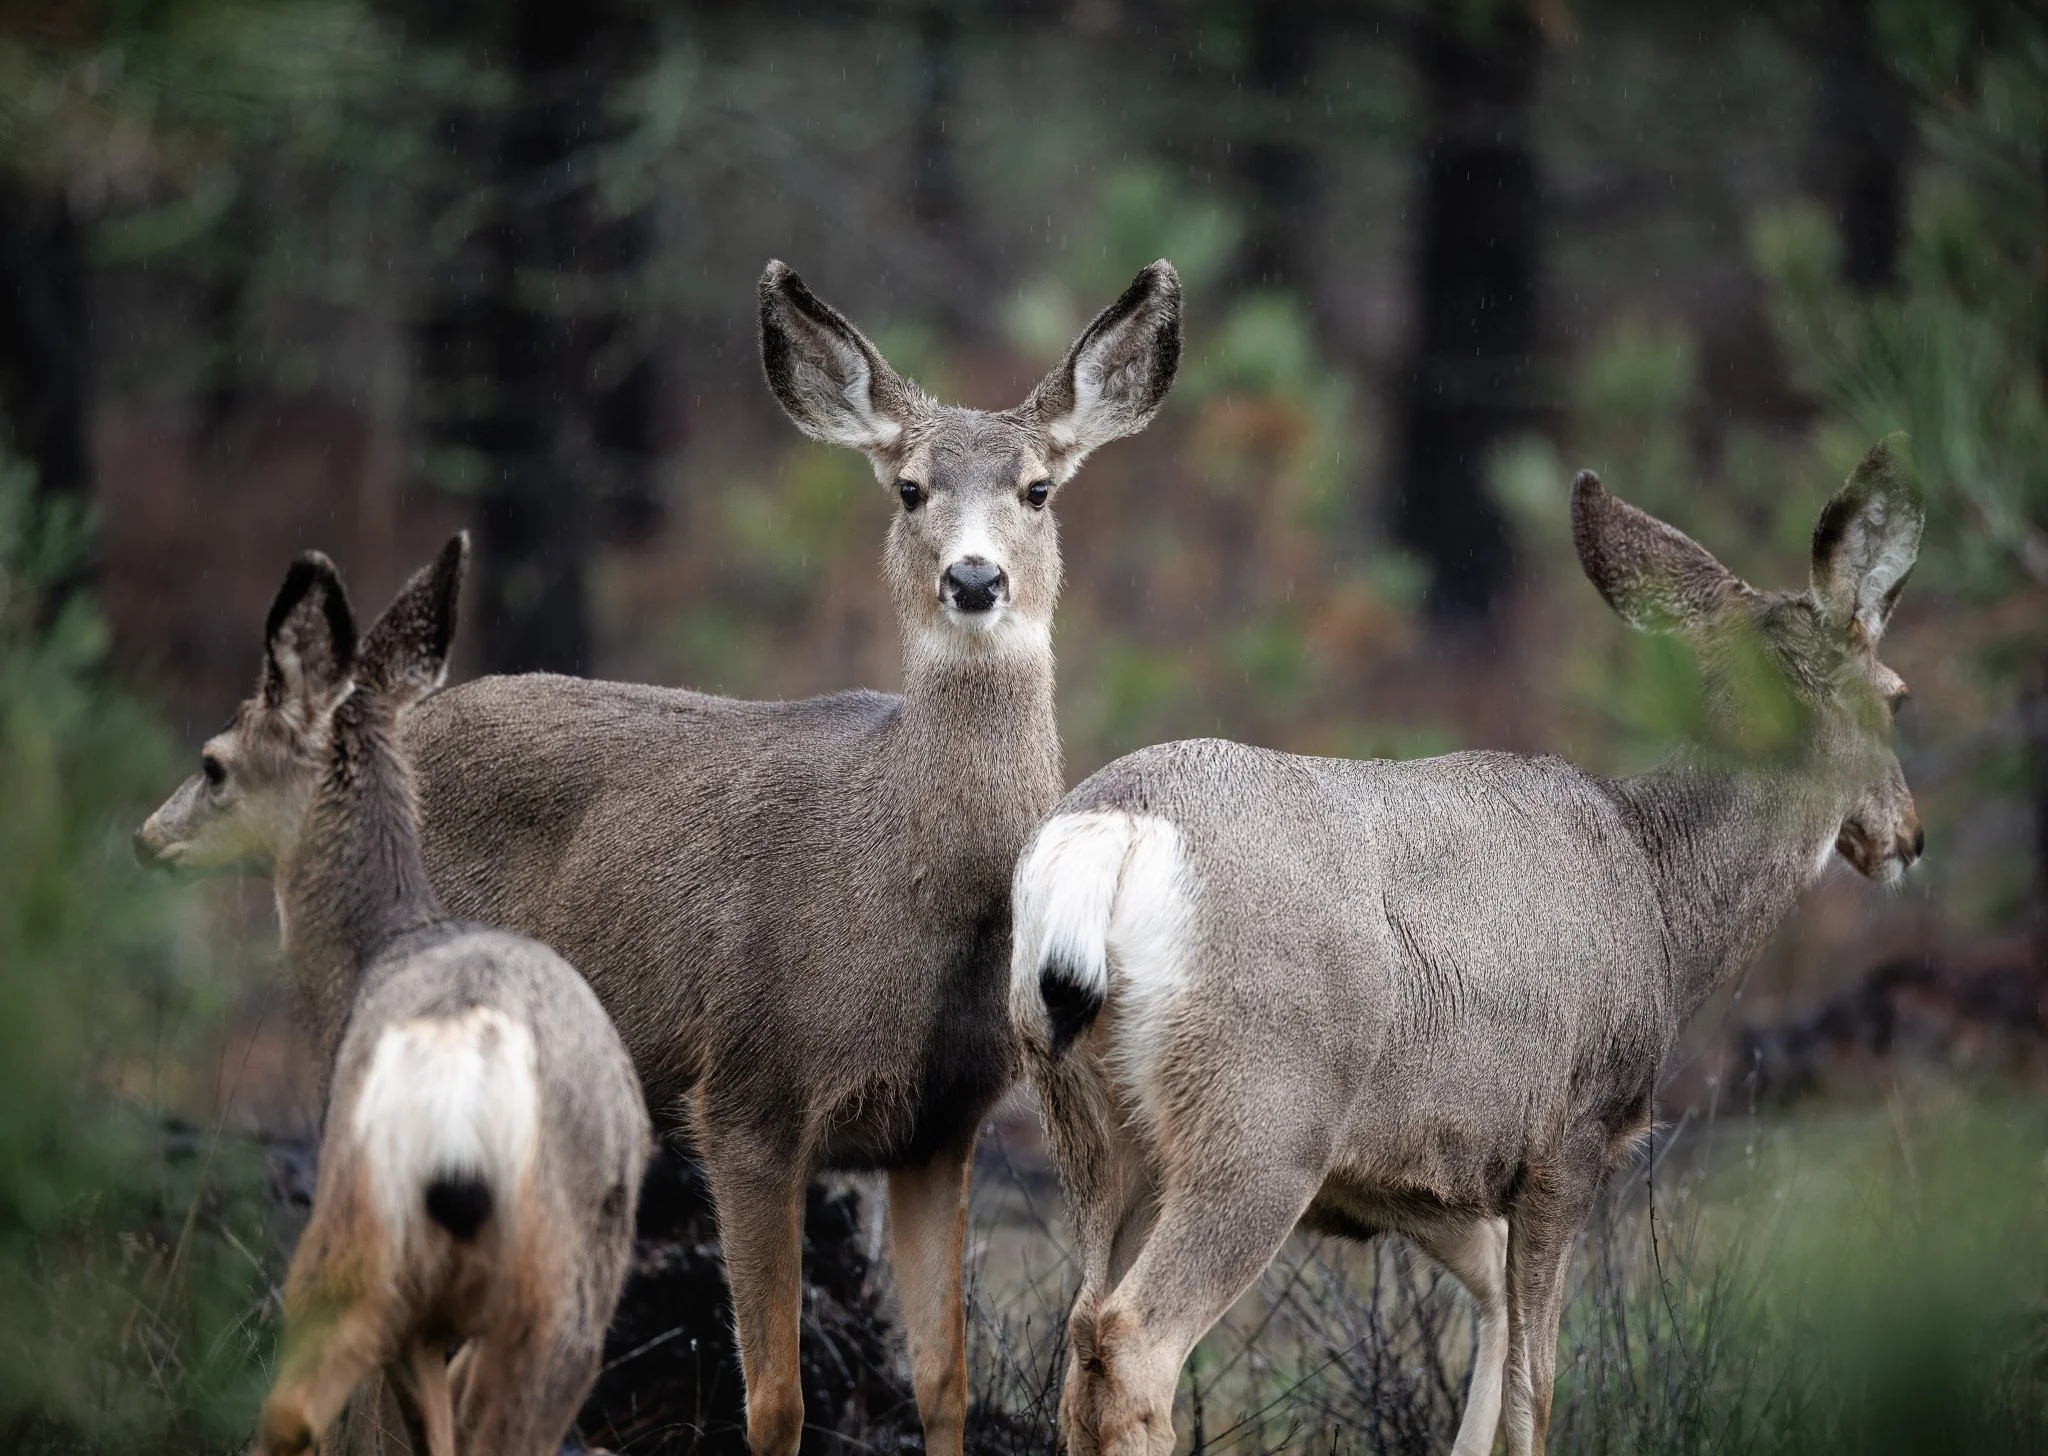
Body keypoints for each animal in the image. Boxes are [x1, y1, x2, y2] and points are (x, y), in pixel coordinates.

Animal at [135, 537, 652, 1456]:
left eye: (213, 764)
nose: (148, 837)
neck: (382, 944)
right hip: (565, 1303)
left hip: (359, 1244)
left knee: (302, 1411)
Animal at [384, 260, 1181, 1454]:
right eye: (909, 489)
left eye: (1039, 489)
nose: (975, 579)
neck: (909, 898)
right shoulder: (745, 1096)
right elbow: (773, 1398)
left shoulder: (939, 1125)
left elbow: (942, 1379)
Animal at [1009, 437, 1926, 1456]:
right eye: (1897, 697)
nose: (1906, 835)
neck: (1660, 895)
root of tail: (1114, 830)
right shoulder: (1568, 1136)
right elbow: (1539, 1383)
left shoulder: (1423, 1175)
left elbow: (1493, 1322)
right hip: (1260, 1117)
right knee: (1135, 1339)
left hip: (1087, 1126)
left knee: (1081, 1338)